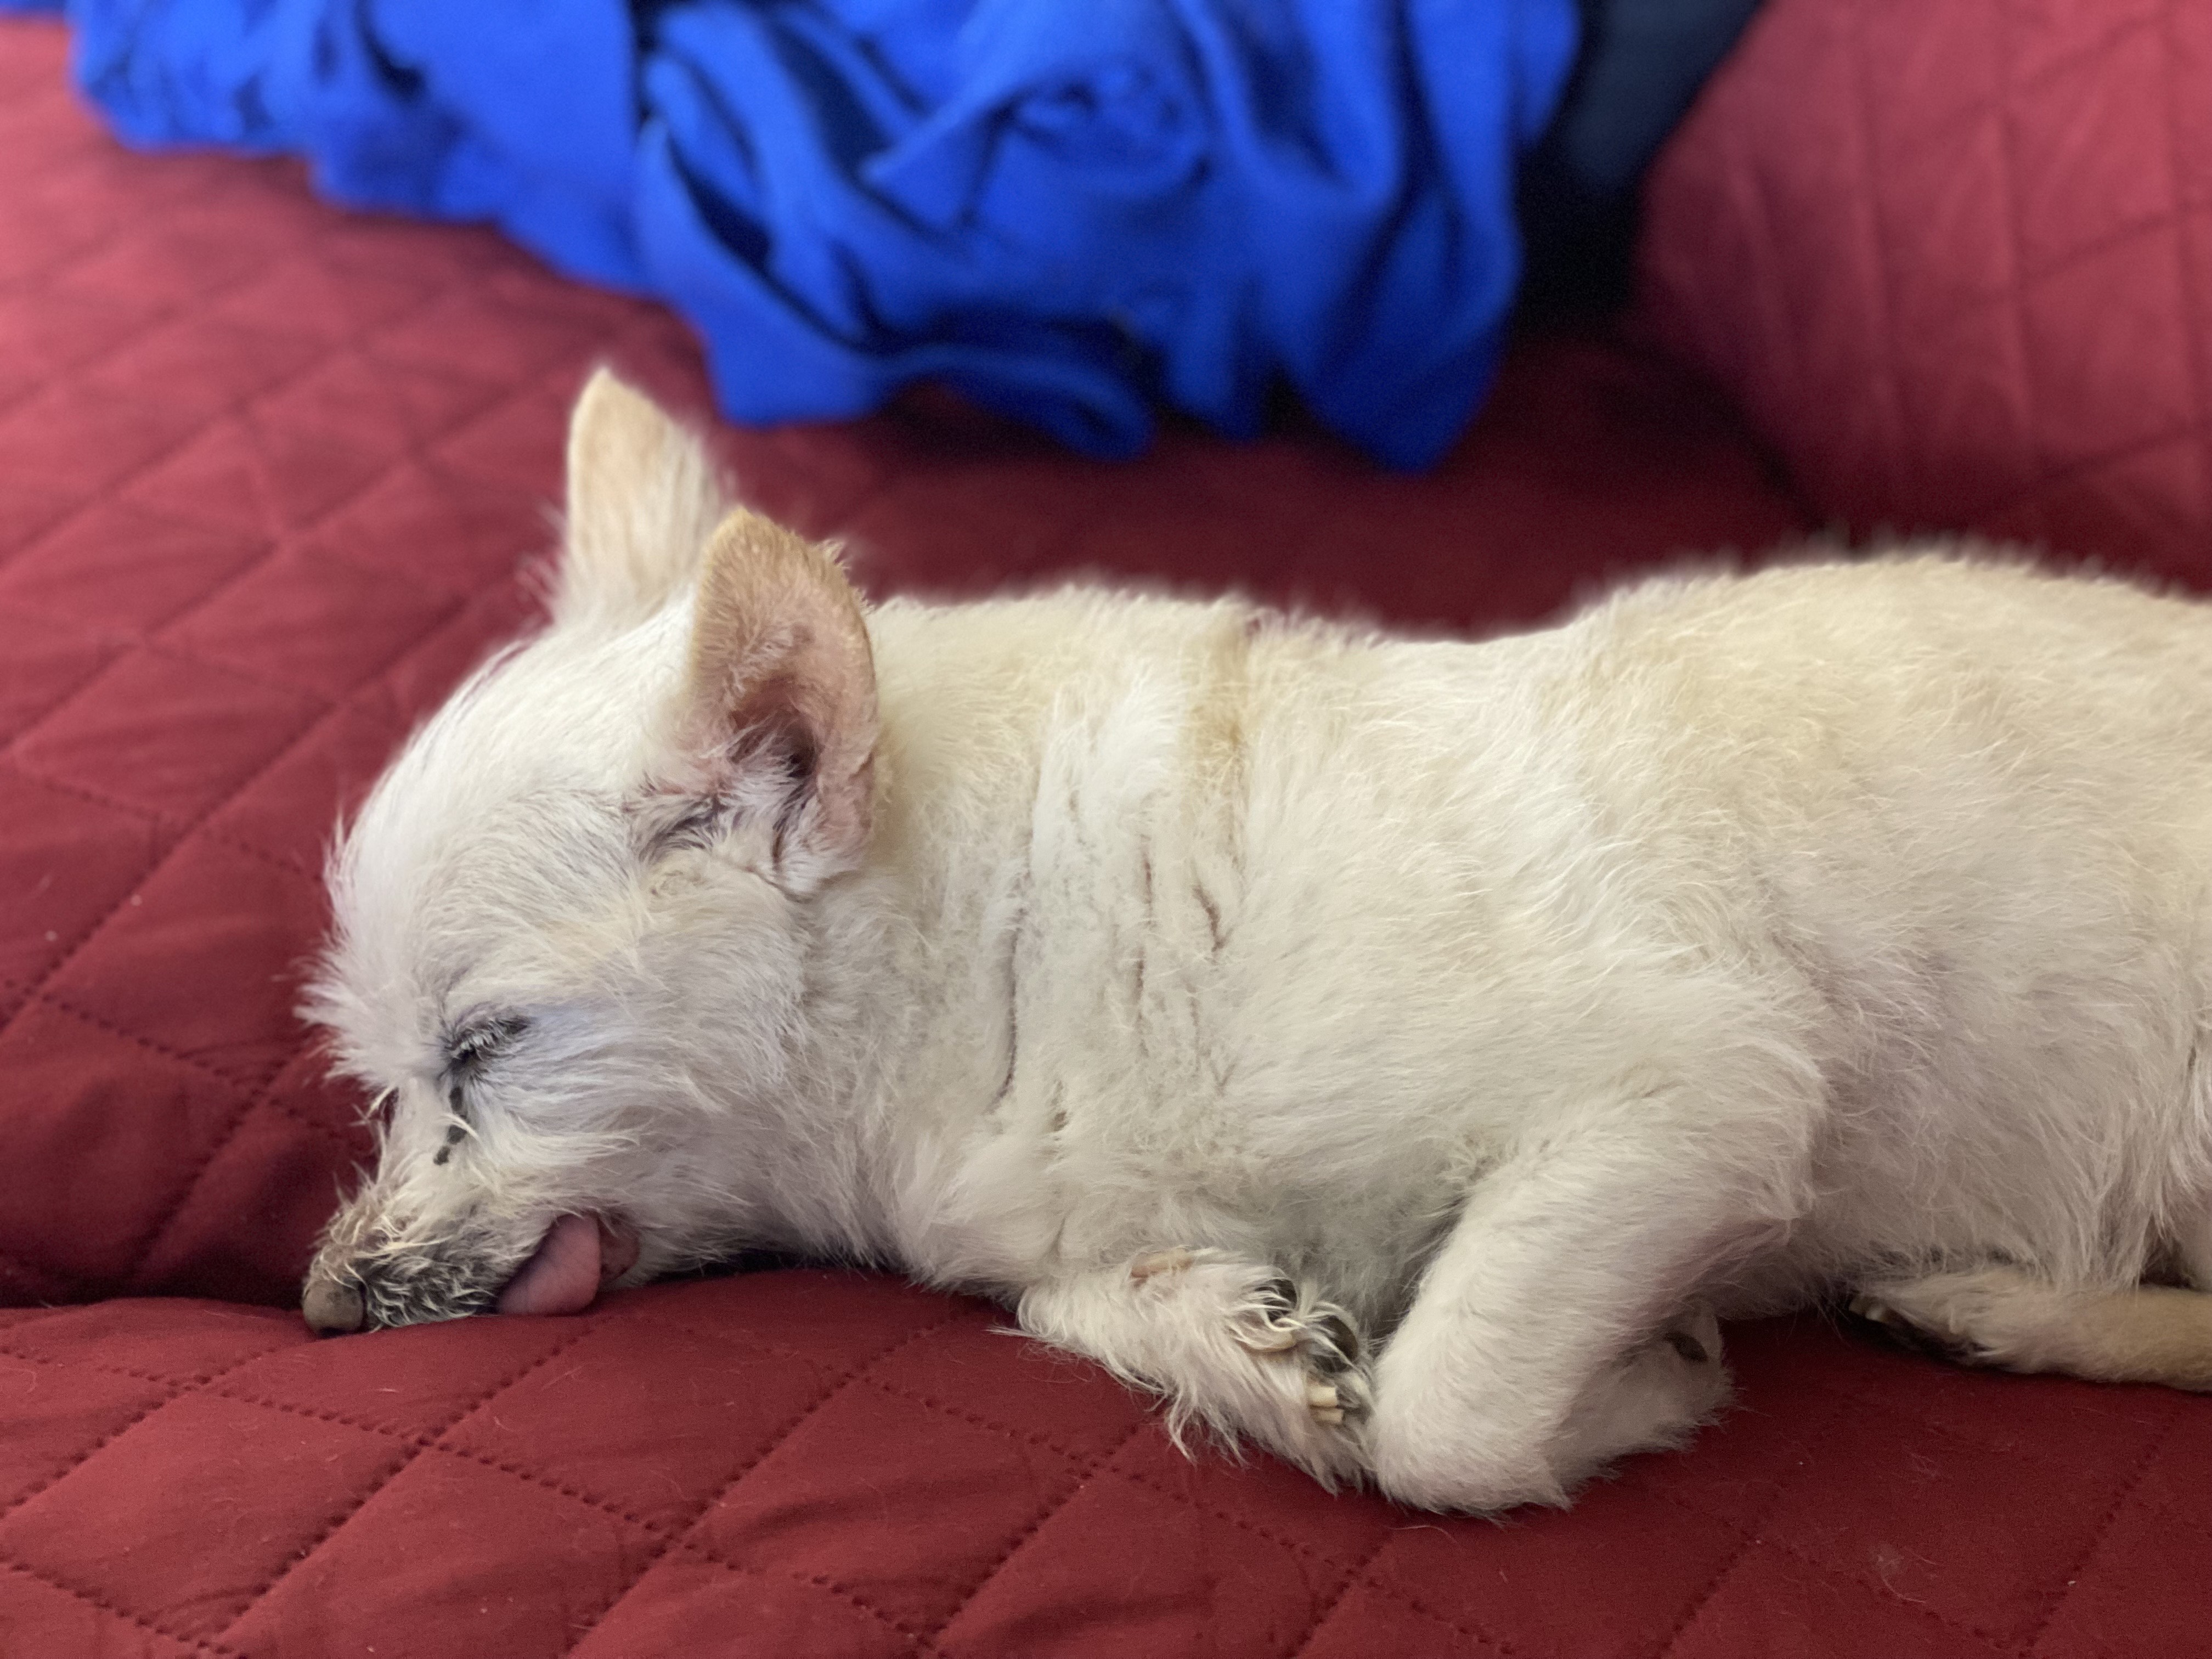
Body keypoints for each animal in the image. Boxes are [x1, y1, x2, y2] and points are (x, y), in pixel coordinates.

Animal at [298, 369, 2212, 1513]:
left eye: (486, 1051)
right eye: (389, 1083)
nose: (318, 1303)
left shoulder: (1694, 1103)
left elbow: (1449, 1417)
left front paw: (1637, 1395)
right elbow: (1085, 1306)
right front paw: (1250, 1343)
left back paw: (2008, 1309)